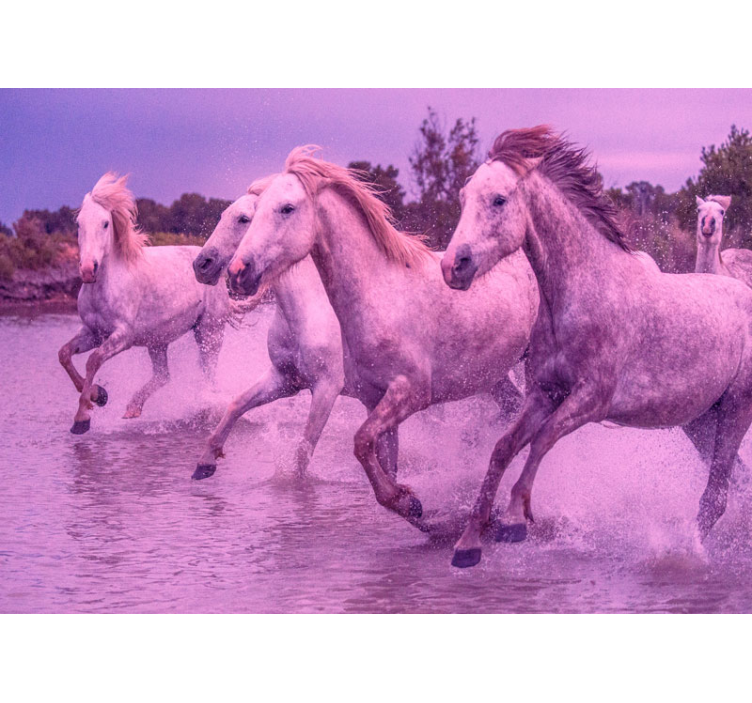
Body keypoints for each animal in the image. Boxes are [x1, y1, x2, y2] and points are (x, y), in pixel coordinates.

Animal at [58, 172, 242, 434]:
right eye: (78, 224)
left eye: (105, 223)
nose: (87, 270)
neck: (104, 287)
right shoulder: (92, 332)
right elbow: (64, 354)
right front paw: (99, 395)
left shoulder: (122, 337)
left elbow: (93, 361)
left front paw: (82, 418)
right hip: (157, 340)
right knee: (163, 375)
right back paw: (133, 407)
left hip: (209, 331)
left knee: (208, 377)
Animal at [191, 181, 346, 479]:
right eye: (223, 215)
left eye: (244, 219)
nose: (202, 264)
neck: (307, 311)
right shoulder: (285, 380)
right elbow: (236, 404)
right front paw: (205, 463)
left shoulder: (327, 388)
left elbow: (303, 452)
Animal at [227, 147, 539, 529]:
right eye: (253, 213)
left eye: (287, 208)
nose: (237, 272)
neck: (380, 293)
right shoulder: (376, 400)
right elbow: (380, 462)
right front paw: (415, 508)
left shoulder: (411, 393)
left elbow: (360, 442)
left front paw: (412, 504)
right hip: (492, 376)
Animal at [442, 126, 752, 568]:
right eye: (464, 197)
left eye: (499, 199)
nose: (453, 266)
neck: (580, 294)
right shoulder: (544, 393)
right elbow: (503, 448)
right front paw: (468, 544)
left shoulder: (592, 400)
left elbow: (542, 440)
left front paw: (514, 521)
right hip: (700, 419)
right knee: (736, 483)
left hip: (737, 409)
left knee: (717, 496)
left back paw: (679, 551)